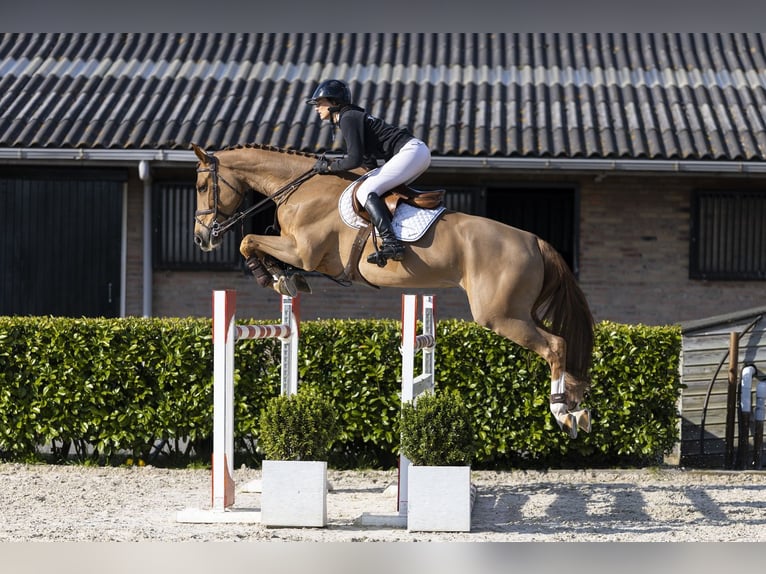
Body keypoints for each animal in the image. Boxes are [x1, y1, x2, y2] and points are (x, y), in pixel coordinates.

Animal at [191, 143, 594, 437]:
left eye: (201, 187)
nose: (200, 239)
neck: (300, 188)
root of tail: (534, 241)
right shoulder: (297, 251)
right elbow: (256, 245)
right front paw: (282, 277)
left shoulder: (303, 250)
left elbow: (248, 241)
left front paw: (271, 276)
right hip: (514, 313)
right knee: (562, 349)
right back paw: (577, 407)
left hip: (501, 315)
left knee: (556, 345)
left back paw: (561, 411)